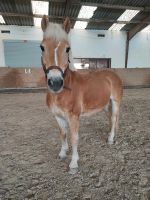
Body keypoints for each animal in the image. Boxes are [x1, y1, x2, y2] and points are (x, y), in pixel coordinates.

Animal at [40, 15, 123, 174]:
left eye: (67, 48)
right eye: (42, 47)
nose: (55, 82)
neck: (63, 92)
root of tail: (113, 75)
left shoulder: (73, 117)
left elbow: (74, 138)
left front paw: (73, 164)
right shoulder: (58, 116)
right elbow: (63, 134)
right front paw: (62, 153)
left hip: (115, 102)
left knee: (114, 118)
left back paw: (110, 139)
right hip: (105, 105)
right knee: (111, 119)